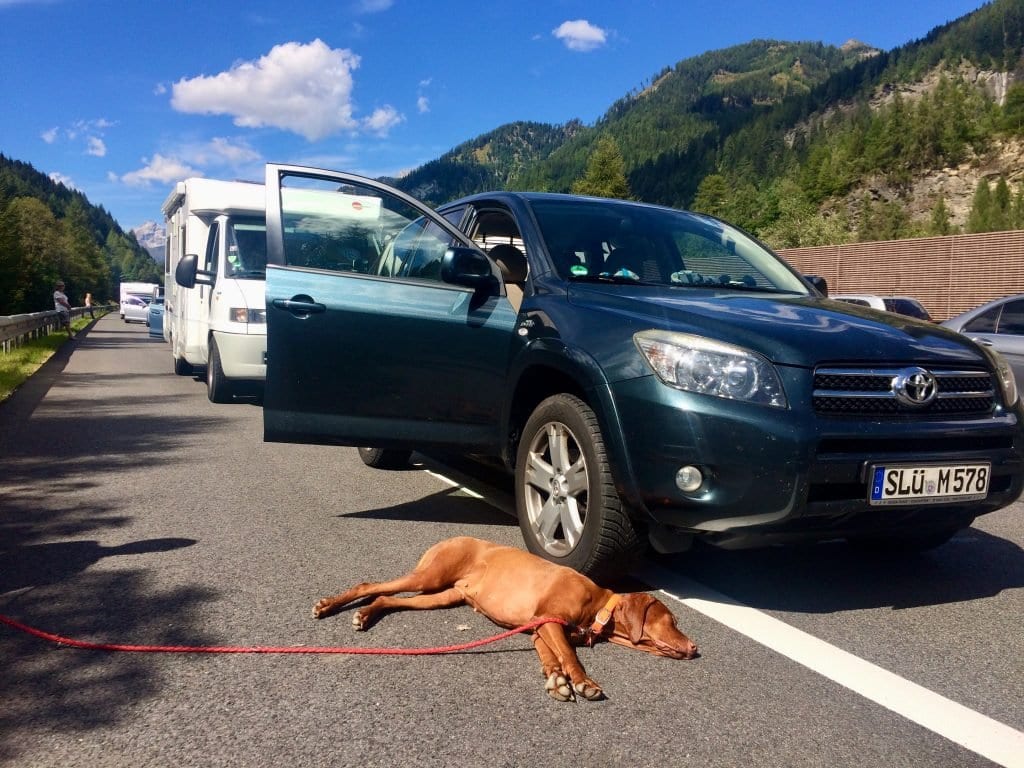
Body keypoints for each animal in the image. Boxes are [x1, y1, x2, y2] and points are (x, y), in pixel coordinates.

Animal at [309, 536, 696, 700]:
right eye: (673, 620)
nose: (695, 647)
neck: (598, 605)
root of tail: (452, 535)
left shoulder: (540, 630)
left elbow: (552, 656)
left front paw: (555, 680)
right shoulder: (549, 619)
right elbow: (571, 656)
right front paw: (583, 683)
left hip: (443, 596)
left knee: (387, 598)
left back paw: (366, 614)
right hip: (430, 576)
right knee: (371, 584)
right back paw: (328, 605)